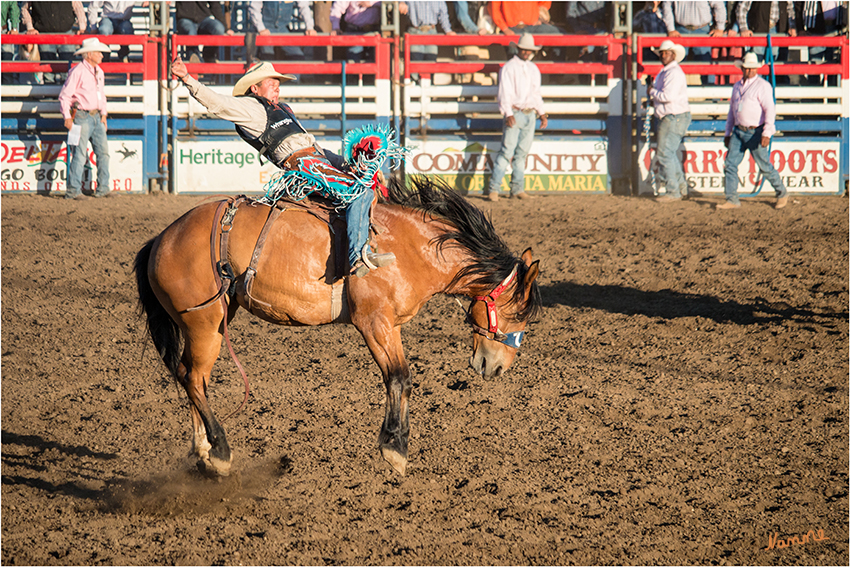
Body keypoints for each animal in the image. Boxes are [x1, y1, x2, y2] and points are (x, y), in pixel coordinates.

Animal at [135, 175, 540, 478]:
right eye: (520, 314)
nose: (497, 367)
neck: (412, 248)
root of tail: (162, 239)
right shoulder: (374, 322)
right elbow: (399, 378)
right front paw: (395, 447)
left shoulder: (390, 325)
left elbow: (403, 380)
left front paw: (398, 443)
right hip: (203, 322)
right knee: (192, 378)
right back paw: (219, 451)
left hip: (214, 321)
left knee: (192, 377)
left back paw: (203, 451)